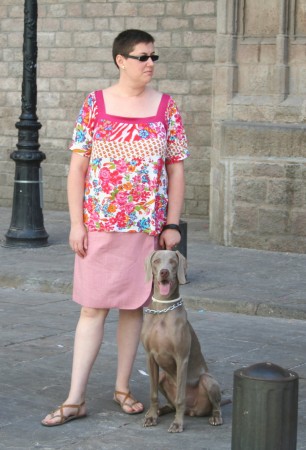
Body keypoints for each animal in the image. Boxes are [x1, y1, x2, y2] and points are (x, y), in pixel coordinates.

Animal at [140, 250, 222, 432]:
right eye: (156, 261)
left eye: (172, 261)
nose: (164, 272)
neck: (163, 309)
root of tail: (192, 411)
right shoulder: (149, 357)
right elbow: (152, 393)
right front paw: (151, 416)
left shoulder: (181, 358)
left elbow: (180, 398)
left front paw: (177, 423)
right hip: (162, 376)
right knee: (169, 402)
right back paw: (160, 410)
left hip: (208, 380)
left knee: (215, 405)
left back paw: (215, 417)